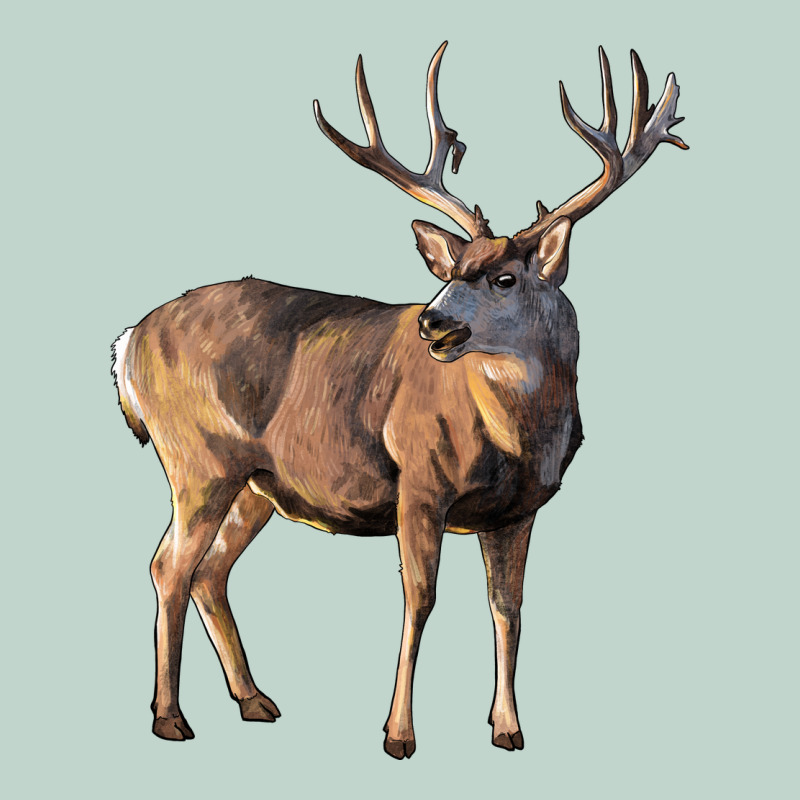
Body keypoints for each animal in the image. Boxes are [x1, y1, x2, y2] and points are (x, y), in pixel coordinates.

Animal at [111, 42, 687, 759]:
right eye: (449, 272)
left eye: (504, 277)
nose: (432, 323)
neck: (518, 438)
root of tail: (128, 341)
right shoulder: (419, 481)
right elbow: (420, 598)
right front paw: (398, 734)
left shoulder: (520, 510)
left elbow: (508, 608)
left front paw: (508, 728)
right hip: (198, 458)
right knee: (169, 565)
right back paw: (170, 717)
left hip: (256, 481)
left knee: (209, 571)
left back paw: (255, 701)